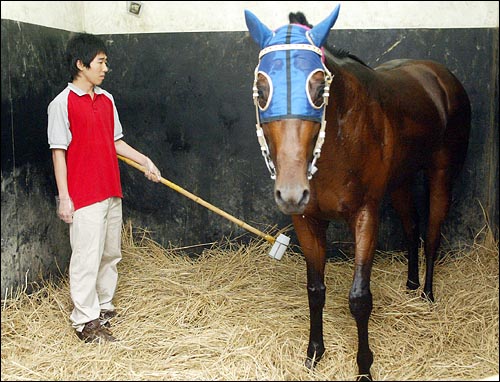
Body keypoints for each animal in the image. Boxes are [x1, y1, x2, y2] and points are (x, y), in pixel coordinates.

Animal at [244, 4, 470, 380]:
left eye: (319, 88)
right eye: (262, 91)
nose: (290, 193)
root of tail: (440, 76)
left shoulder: (365, 215)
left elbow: (360, 299)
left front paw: (364, 367)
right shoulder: (307, 220)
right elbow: (315, 290)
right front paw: (314, 353)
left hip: (441, 174)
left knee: (432, 232)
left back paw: (426, 293)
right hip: (400, 183)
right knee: (411, 227)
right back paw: (411, 284)